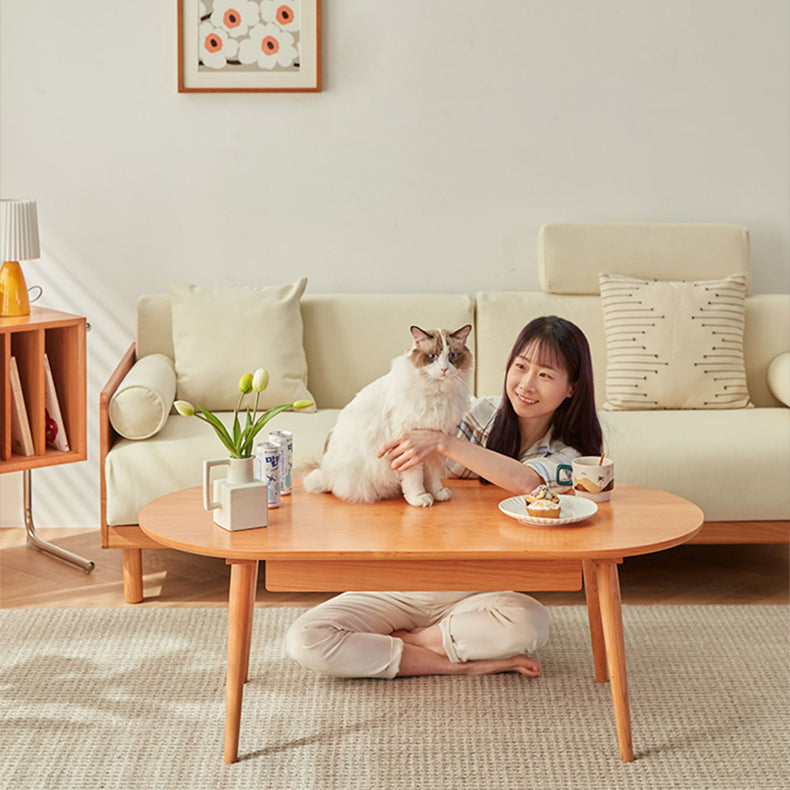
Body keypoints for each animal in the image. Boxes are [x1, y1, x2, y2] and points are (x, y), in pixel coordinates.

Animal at [304, 326, 474, 508]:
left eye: (452, 356)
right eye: (432, 357)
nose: (444, 369)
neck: (438, 392)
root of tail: (325, 475)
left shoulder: (433, 444)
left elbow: (433, 476)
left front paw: (438, 493)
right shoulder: (409, 445)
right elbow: (415, 478)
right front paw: (419, 498)